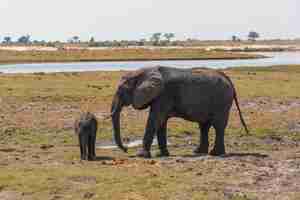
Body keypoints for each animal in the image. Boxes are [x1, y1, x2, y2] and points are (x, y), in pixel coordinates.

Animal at [110, 66, 248, 159]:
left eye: (121, 90)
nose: (126, 149)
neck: (143, 72)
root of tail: (228, 79)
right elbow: (161, 122)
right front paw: (162, 154)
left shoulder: (164, 95)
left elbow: (155, 120)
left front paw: (141, 155)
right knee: (204, 126)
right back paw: (199, 152)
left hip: (222, 101)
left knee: (218, 125)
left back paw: (215, 154)